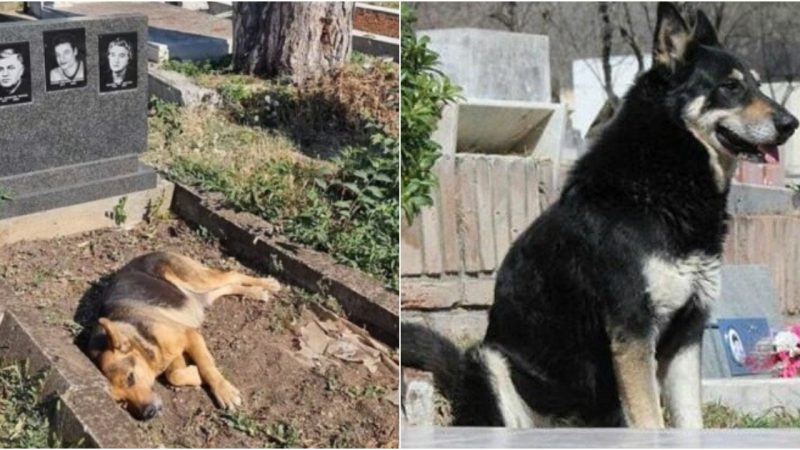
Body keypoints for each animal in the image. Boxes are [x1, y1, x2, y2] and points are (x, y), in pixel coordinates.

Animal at [86, 251, 282, 420]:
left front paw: (222, 390)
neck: (139, 338)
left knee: (231, 275)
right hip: (201, 295)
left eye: (130, 378)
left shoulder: (189, 335)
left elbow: (205, 366)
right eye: (121, 402)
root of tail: (147, 253)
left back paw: (267, 284)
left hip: (200, 280)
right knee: (226, 287)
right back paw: (255, 292)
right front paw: (196, 375)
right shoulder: (172, 352)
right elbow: (175, 375)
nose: (148, 413)